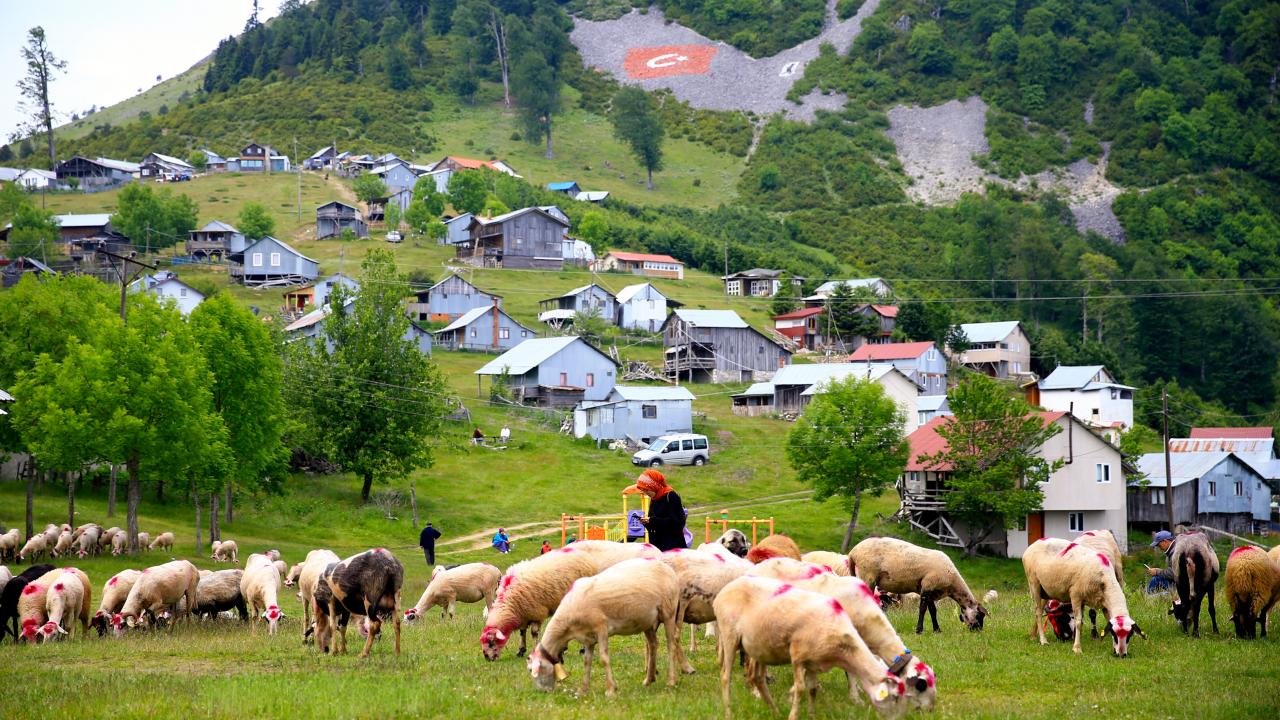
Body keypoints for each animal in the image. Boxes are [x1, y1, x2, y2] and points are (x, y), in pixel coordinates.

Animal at [481, 540, 662, 661]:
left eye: (491, 643)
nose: (487, 658)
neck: (509, 603)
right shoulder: (524, 614)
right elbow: (522, 632)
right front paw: (521, 649)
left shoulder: (537, 612)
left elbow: (534, 633)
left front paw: (532, 650)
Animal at [527, 557, 687, 696]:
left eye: (531, 670)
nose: (543, 693)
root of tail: (668, 568)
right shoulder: (587, 638)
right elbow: (587, 661)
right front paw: (583, 689)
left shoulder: (601, 628)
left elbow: (604, 658)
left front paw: (610, 689)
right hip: (647, 620)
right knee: (654, 645)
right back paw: (649, 679)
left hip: (669, 611)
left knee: (671, 644)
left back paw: (671, 681)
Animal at [713, 576, 908, 720]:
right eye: (894, 697)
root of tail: (724, 591)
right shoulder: (798, 655)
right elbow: (801, 687)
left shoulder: (814, 661)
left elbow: (812, 689)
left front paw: (812, 713)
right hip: (730, 636)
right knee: (725, 676)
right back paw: (729, 712)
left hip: (759, 645)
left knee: (757, 677)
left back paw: (774, 710)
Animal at [748, 558, 936, 710]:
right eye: (922, 685)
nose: (929, 711)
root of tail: (757, 567)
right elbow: (850, 673)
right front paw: (856, 698)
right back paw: (756, 691)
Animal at [849, 536, 988, 633]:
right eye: (979, 615)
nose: (978, 631)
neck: (952, 584)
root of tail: (853, 552)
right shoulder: (927, 586)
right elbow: (922, 609)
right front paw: (919, 630)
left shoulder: (931, 590)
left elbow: (933, 611)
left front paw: (937, 630)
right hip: (868, 576)